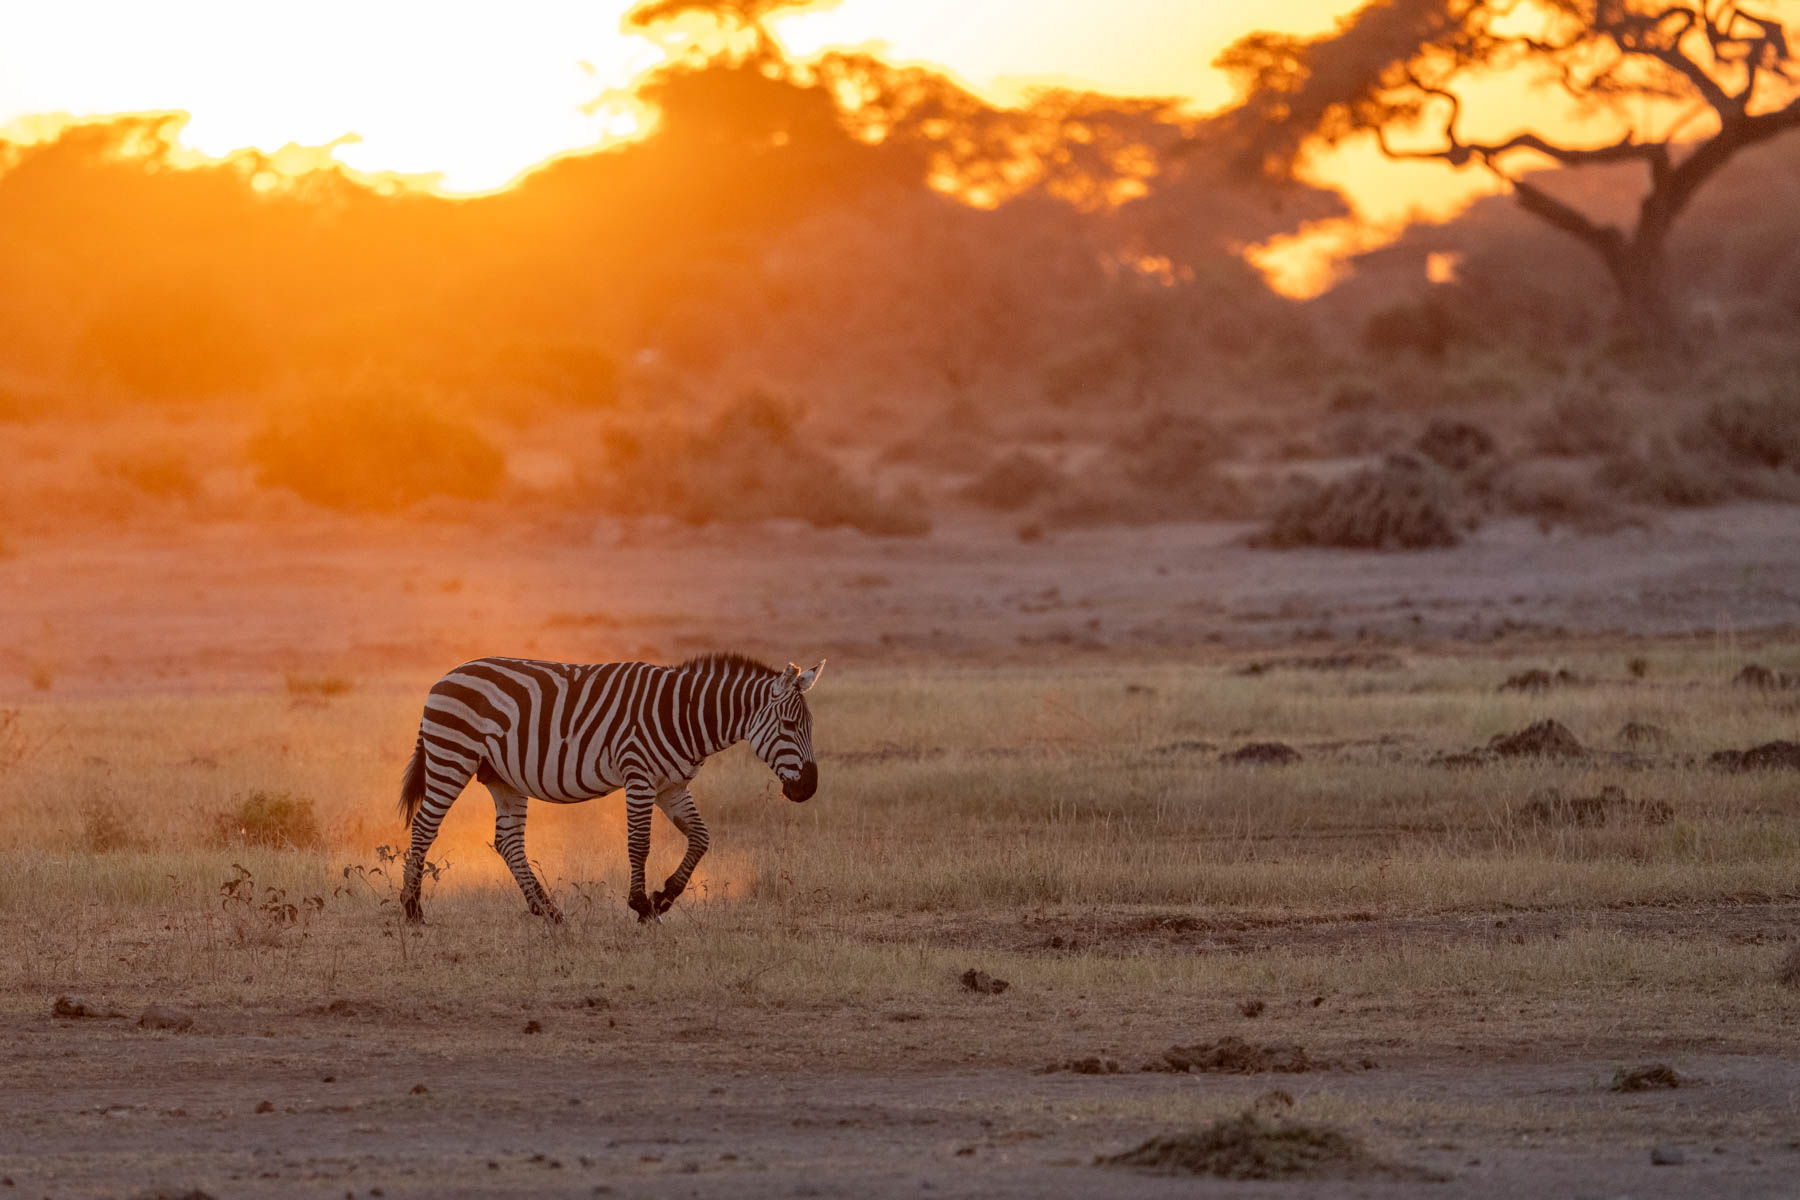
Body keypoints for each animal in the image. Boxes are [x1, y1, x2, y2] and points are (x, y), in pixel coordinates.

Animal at [397, 653, 824, 923]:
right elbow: (639, 843)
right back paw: (412, 909)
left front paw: (664, 897)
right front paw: (641, 905)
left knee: (508, 842)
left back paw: (548, 911)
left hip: (503, 778)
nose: (808, 789)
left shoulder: (672, 786)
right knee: (424, 827)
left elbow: (701, 838)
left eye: (810, 726)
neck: (684, 715)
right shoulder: (640, 777)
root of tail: (446, 677)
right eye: (789, 726)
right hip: (452, 756)